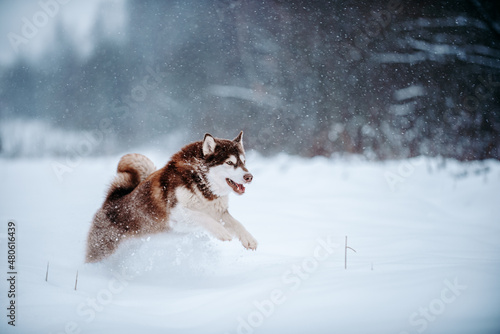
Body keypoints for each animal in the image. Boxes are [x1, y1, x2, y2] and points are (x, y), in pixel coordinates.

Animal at [85, 132, 256, 262]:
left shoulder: (218, 212)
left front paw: (248, 238)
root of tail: (111, 200)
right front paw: (221, 232)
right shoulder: (176, 215)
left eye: (244, 162)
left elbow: (236, 223)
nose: (249, 177)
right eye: (229, 162)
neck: (201, 183)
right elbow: (203, 217)